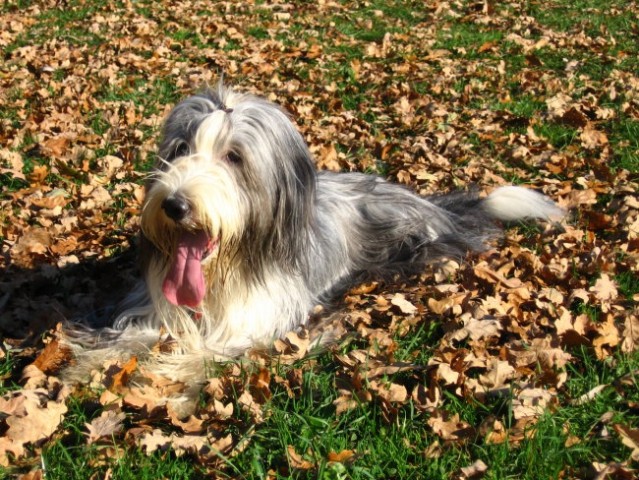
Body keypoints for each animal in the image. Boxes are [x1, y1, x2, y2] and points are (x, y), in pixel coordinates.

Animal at [66, 81, 564, 390]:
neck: (226, 270)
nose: (174, 205)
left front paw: (166, 372)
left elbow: (210, 349)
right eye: (181, 149)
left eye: (233, 157)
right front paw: (86, 365)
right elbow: (130, 335)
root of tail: (430, 204)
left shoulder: (267, 319)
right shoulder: (154, 306)